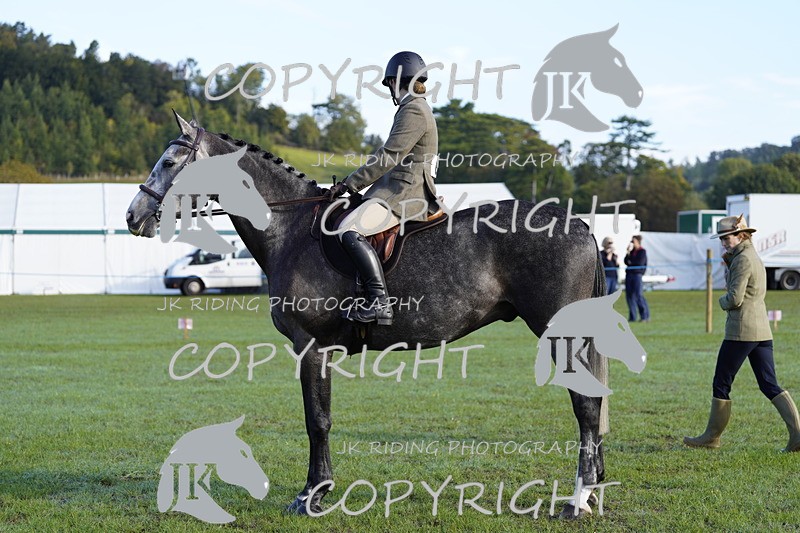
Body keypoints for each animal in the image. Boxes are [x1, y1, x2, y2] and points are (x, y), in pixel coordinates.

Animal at [128, 112, 610, 518]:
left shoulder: (311, 347)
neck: (291, 231)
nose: (134, 216)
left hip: (560, 336)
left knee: (585, 406)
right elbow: (320, 418)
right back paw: (591, 490)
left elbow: (317, 420)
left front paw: (312, 495)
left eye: (169, 162)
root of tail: (578, 224)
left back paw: (577, 500)